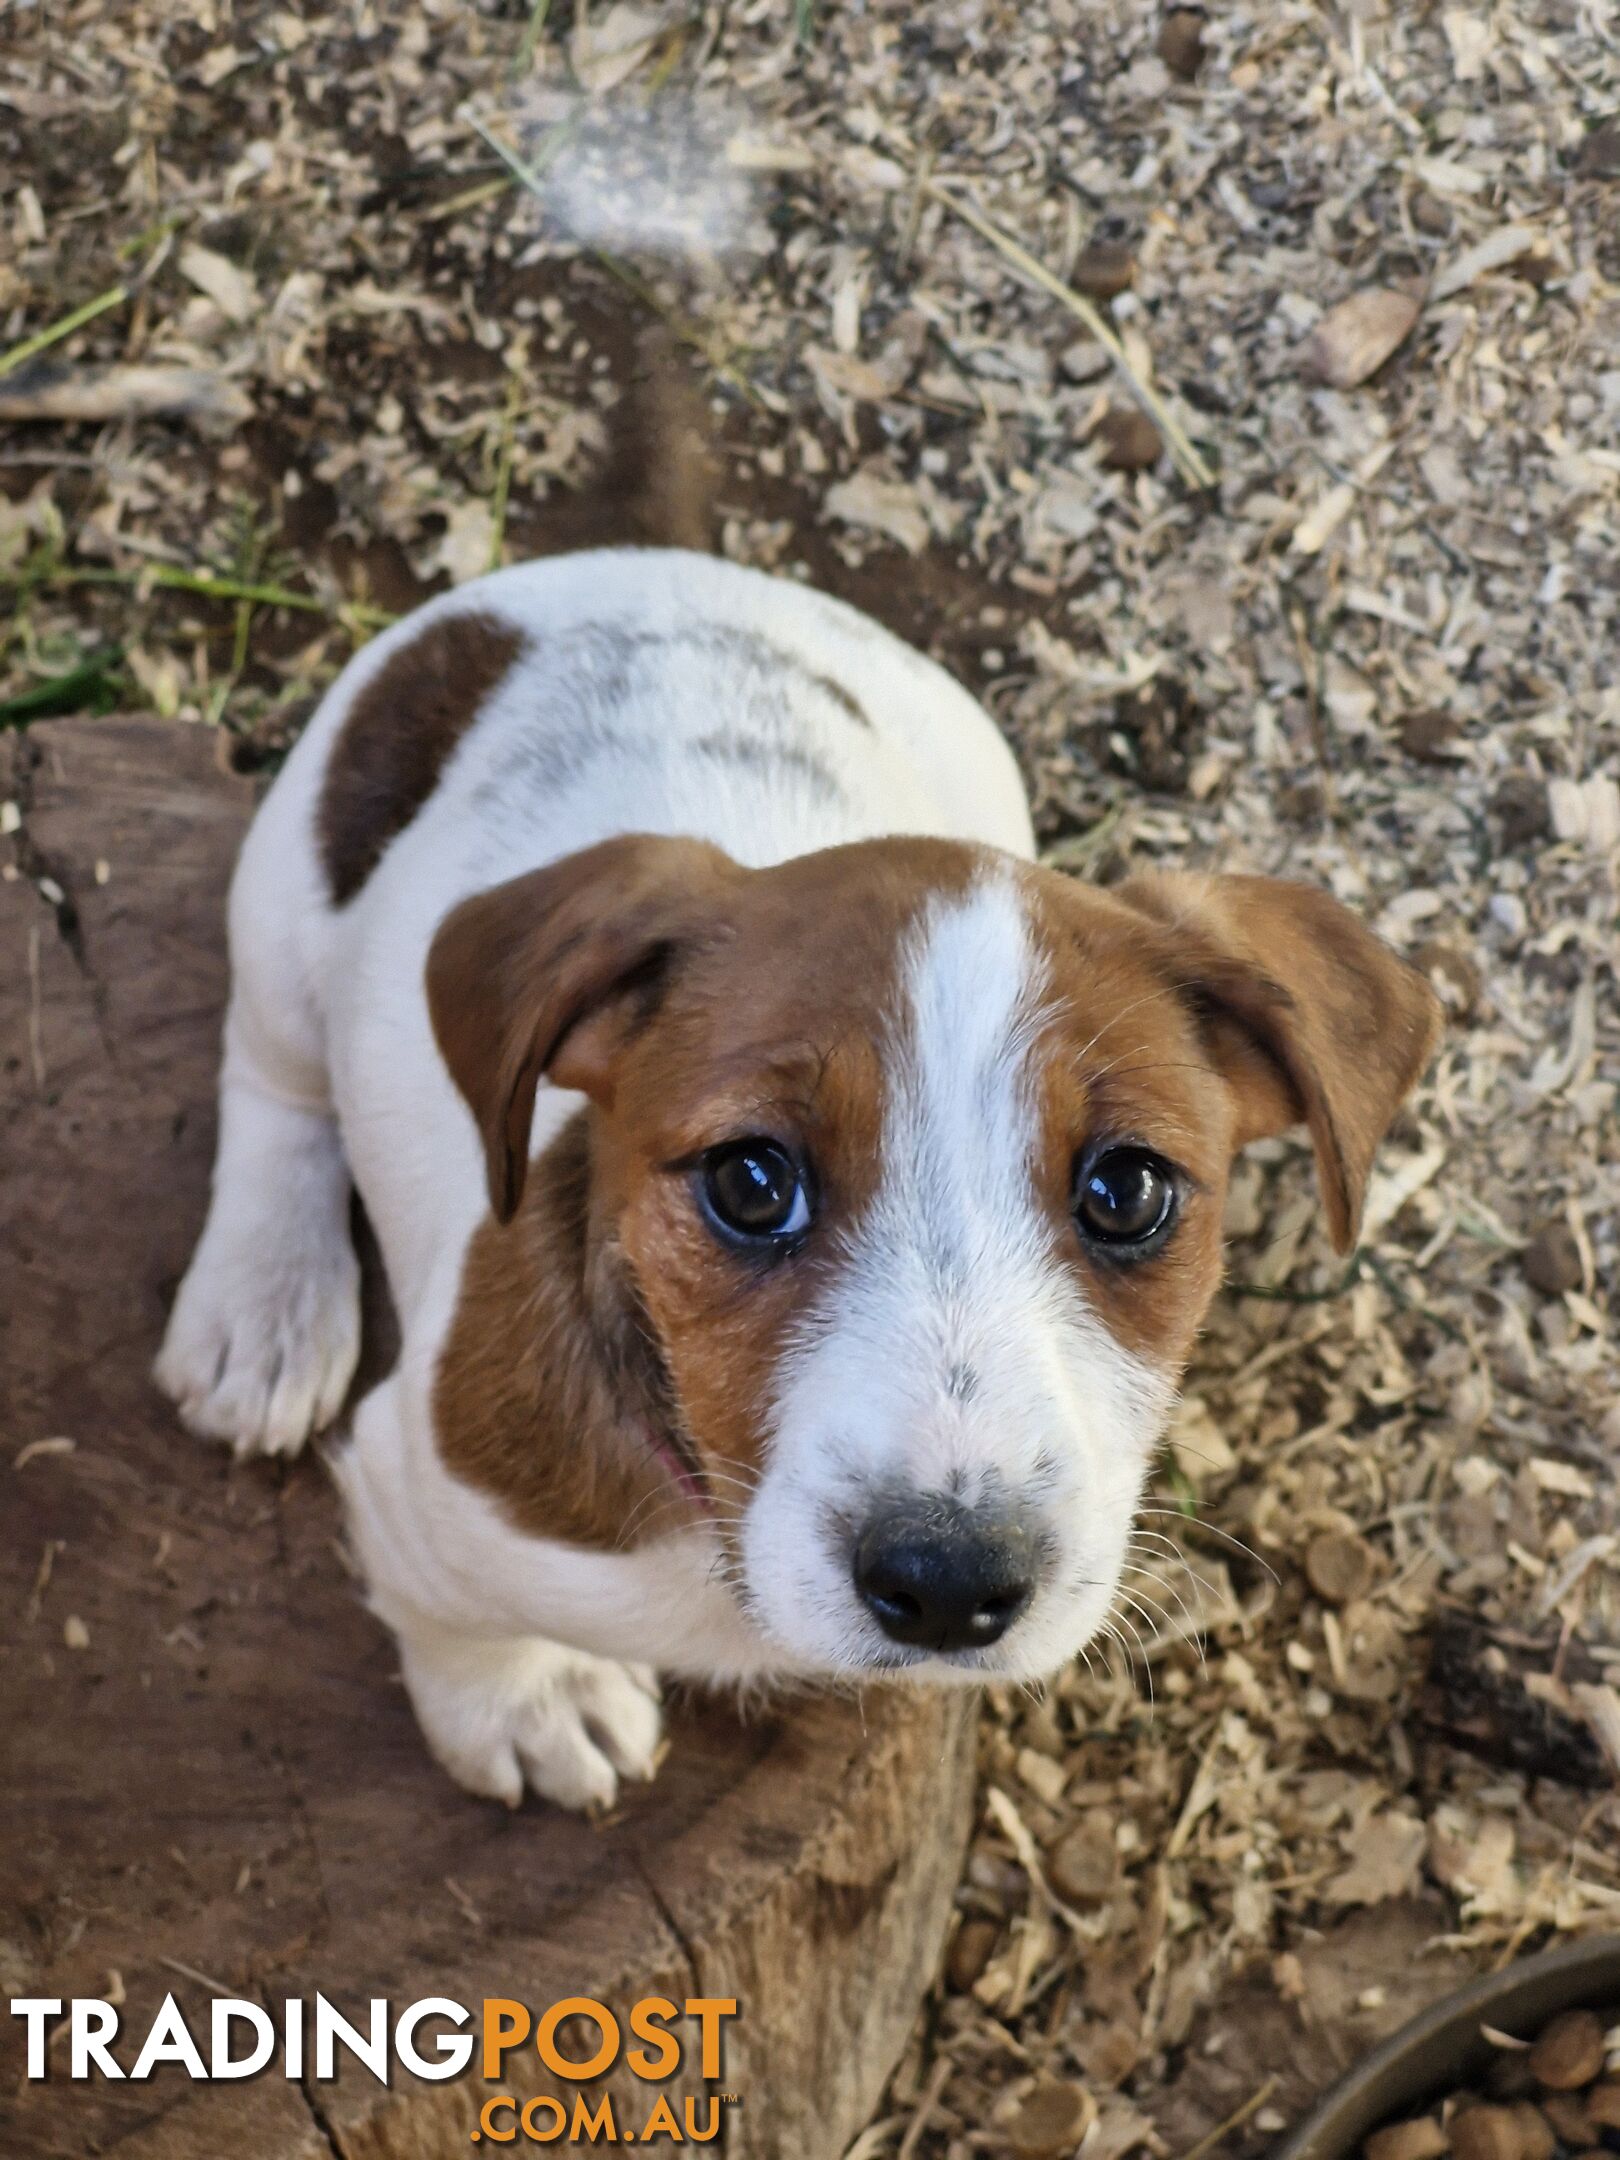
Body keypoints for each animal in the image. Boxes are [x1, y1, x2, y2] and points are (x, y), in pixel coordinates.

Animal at [152, 548, 1442, 1814]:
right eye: (751, 1181)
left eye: (1127, 1193)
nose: (948, 1582)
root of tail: (638, 564)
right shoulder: (417, 1488)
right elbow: (456, 1621)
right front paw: (532, 1700)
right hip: (284, 913)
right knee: (271, 1078)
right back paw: (263, 1311)